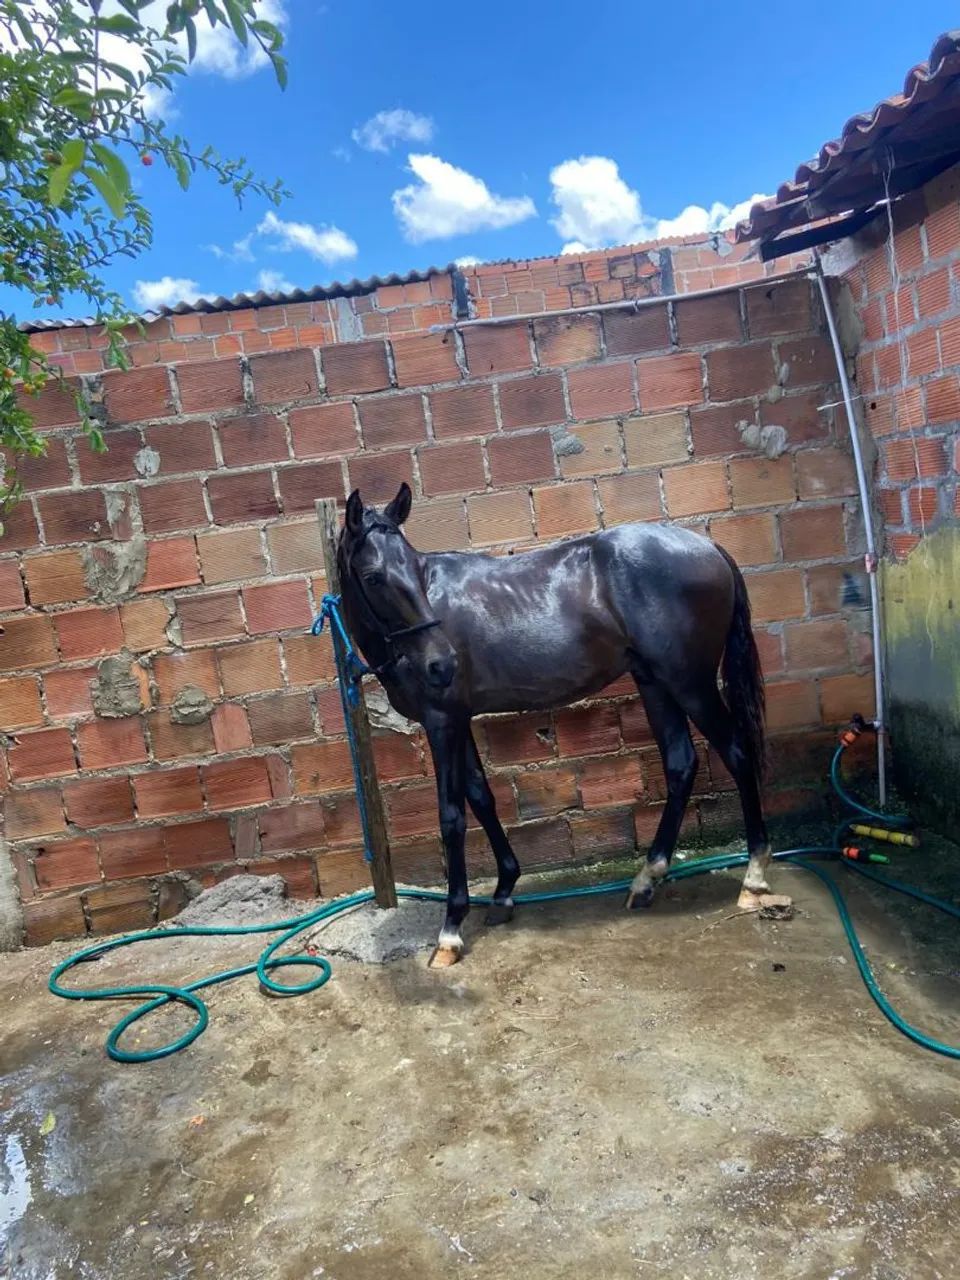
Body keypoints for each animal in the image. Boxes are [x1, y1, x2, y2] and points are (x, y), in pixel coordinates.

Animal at [337, 482, 777, 967]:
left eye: (414, 570)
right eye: (373, 577)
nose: (443, 664)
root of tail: (709, 547)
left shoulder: (441, 722)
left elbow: (451, 816)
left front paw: (451, 930)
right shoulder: (459, 720)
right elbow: (481, 797)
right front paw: (504, 891)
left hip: (690, 683)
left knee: (737, 753)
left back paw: (754, 877)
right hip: (655, 682)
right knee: (681, 763)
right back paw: (647, 879)